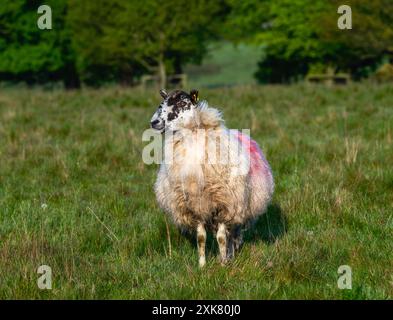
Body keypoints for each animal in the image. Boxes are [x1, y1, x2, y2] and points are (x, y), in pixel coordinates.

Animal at [150, 89, 272, 266]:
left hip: (239, 205)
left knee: (232, 234)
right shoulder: (196, 206)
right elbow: (201, 238)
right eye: (162, 104)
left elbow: (221, 238)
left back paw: (230, 255)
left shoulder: (223, 204)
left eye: (182, 103)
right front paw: (202, 265)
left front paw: (223, 264)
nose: (154, 122)